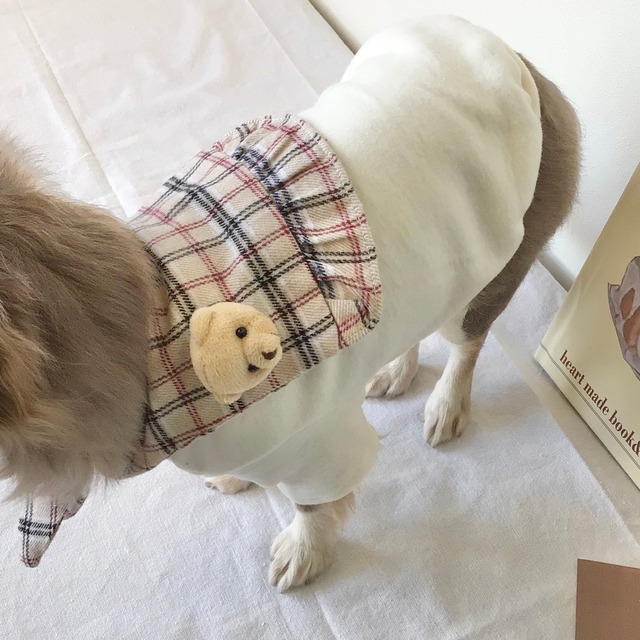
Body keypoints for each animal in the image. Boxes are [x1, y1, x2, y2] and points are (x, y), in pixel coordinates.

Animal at [0, 16, 580, 591]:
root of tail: (519, 64)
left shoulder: (314, 445)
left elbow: (315, 507)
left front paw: (305, 553)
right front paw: (238, 480)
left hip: (490, 270)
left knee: (467, 342)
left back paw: (445, 405)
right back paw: (396, 370)